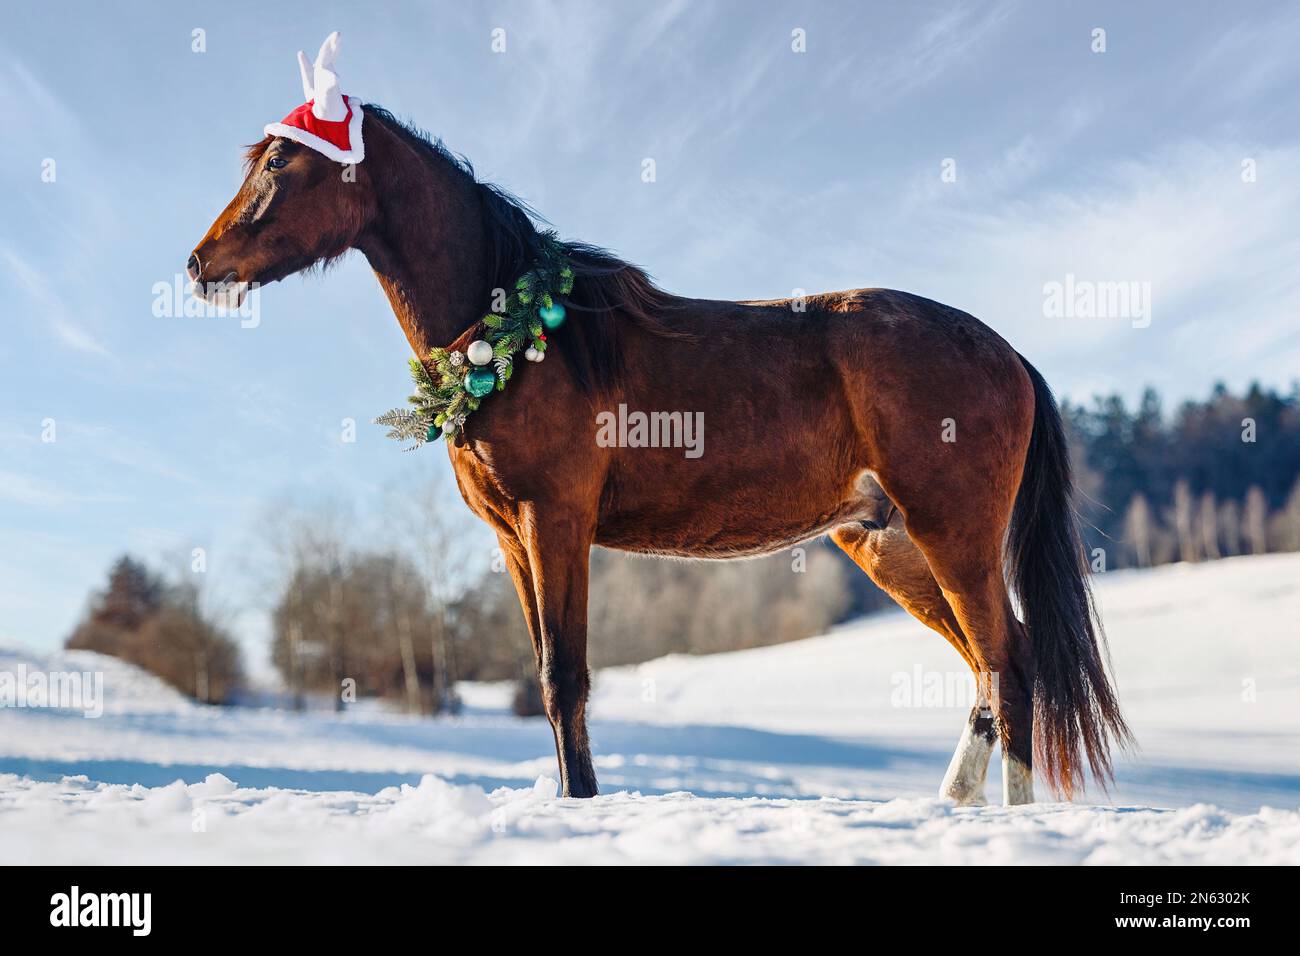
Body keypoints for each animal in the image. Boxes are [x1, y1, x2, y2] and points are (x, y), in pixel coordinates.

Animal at [188, 102, 1133, 806]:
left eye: (280, 161)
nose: (200, 263)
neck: (523, 334)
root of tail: (1006, 352)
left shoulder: (555, 521)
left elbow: (563, 674)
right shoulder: (511, 538)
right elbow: (547, 673)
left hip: (953, 535)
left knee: (1011, 669)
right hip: (891, 542)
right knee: (987, 666)